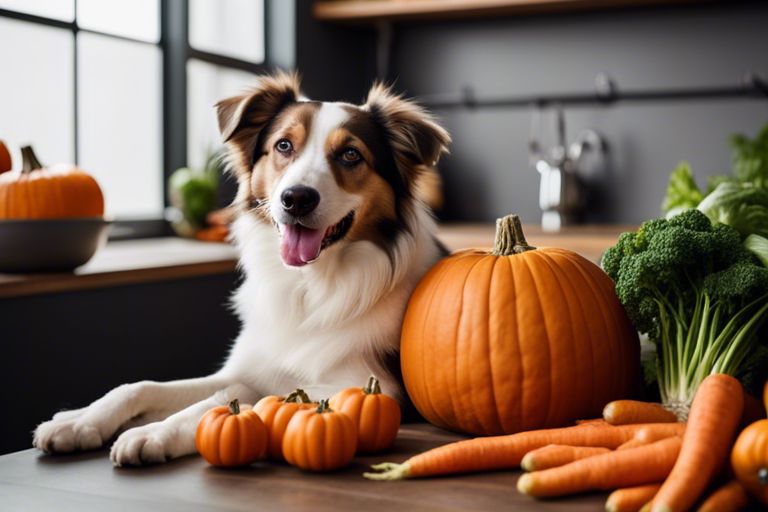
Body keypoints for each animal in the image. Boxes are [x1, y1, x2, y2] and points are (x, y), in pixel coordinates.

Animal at [33, 73, 450, 468]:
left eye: (350, 154)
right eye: (284, 146)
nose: (296, 198)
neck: (309, 287)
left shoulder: (373, 389)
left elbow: (228, 403)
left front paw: (153, 434)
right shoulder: (246, 370)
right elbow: (143, 386)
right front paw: (79, 421)